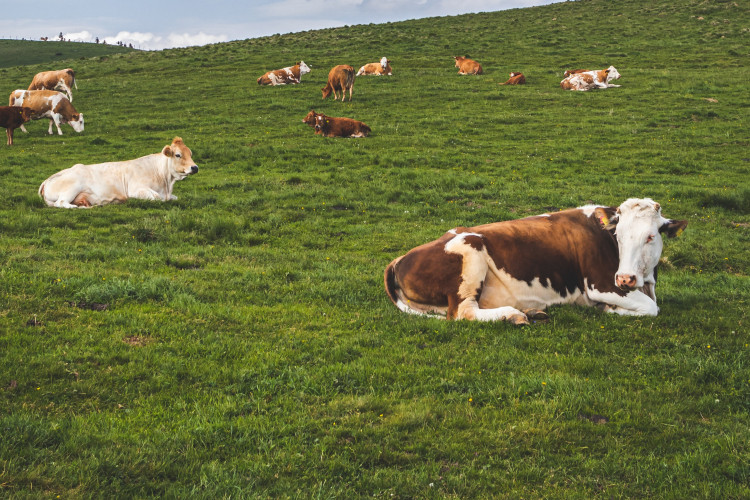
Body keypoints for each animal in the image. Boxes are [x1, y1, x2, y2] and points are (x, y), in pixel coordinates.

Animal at [39, 136, 198, 208]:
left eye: (190, 153)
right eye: (178, 155)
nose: (195, 167)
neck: (166, 183)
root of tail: (47, 180)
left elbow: (175, 198)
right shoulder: (136, 189)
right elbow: (156, 198)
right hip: (72, 187)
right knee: (61, 203)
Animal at [388, 197, 688, 326]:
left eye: (651, 236)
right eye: (619, 235)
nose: (625, 278)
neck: (646, 280)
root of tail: (400, 258)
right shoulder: (601, 284)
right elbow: (651, 308)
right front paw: (610, 309)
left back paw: (531, 312)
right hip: (469, 256)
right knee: (464, 312)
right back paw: (513, 315)